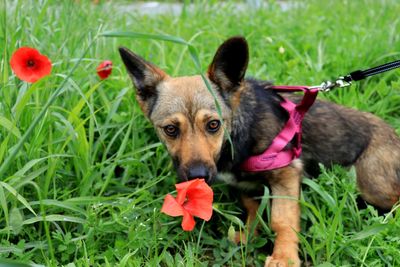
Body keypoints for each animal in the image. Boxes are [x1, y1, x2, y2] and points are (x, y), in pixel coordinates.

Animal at [119, 36, 400, 266]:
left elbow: (281, 219)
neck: (235, 139)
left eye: (213, 125)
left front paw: (284, 256)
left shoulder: (287, 172)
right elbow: (254, 210)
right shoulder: (245, 186)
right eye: (170, 129)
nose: (198, 175)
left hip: (372, 183)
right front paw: (250, 235)